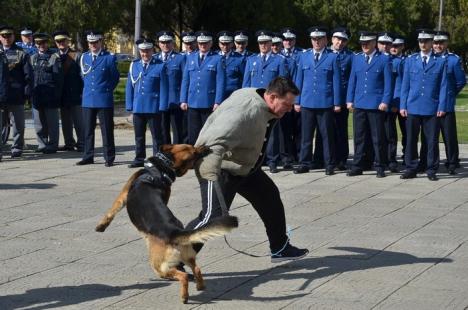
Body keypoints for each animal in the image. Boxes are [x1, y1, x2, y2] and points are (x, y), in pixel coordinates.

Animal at [96, 145, 239, 302]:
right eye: (193, 150)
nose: (207, 148)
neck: (161, 168)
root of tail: (176, 232)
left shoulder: (123, 194)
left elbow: (111, 211)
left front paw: (101, 226)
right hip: (188, 256)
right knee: (196, 269)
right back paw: (200, 286)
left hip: (158, 265)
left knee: (182, 276)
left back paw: (184, 296)